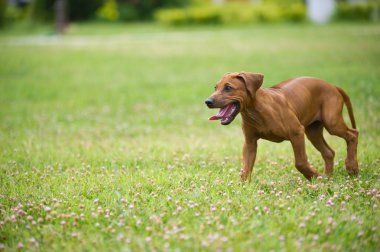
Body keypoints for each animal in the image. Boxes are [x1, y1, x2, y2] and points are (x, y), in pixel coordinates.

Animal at [206, 72, 358, 180]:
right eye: (215, 88)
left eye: (228, 88)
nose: (207, 101)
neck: (255, 111)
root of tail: (332, 85)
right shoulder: (249, 143)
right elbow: (246, 169)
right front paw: (243, 188)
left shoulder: (297, 133)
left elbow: (300, 163)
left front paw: (315, 176)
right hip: (313, 131)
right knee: (328, 152)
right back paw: (328, 176)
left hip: (332, 122)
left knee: (352, 134)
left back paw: (352, 167)